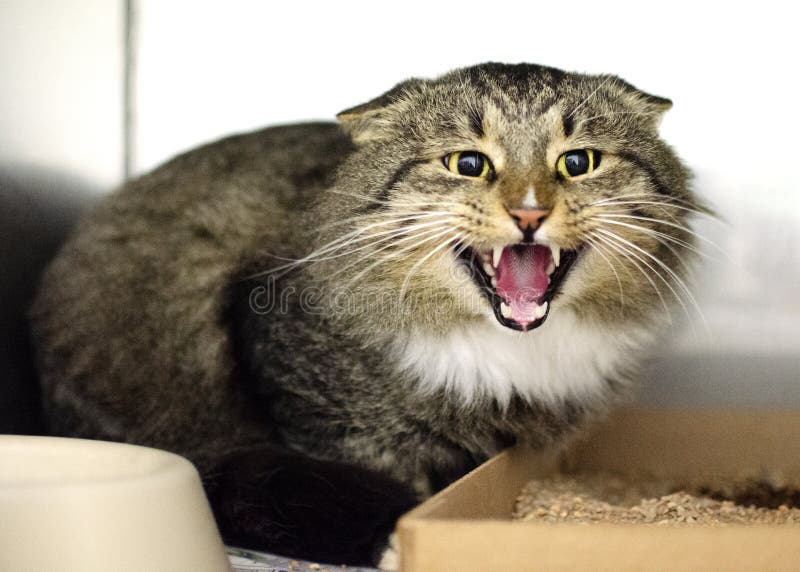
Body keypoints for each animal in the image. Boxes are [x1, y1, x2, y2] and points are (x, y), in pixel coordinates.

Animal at [28, 63, 704, 568]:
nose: (530, 212)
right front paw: (394, 538)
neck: (511, 352)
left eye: (577, 162)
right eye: (468, 164)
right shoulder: (316, 402)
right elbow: (381, 479)